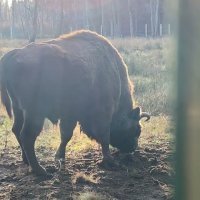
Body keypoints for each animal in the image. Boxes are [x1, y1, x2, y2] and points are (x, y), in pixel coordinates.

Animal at [0, 30, 149, 176]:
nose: (132, 148)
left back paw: (26, 161)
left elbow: (66, 135)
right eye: (137, 129)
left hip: (18, 108)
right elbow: (104, 137)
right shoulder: (103, 114)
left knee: (16, 130)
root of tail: (14, 54)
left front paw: (60, 157)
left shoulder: (69, 115)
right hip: (34, 113)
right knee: (27, 136)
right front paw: (110, 161)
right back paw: (40, 171)